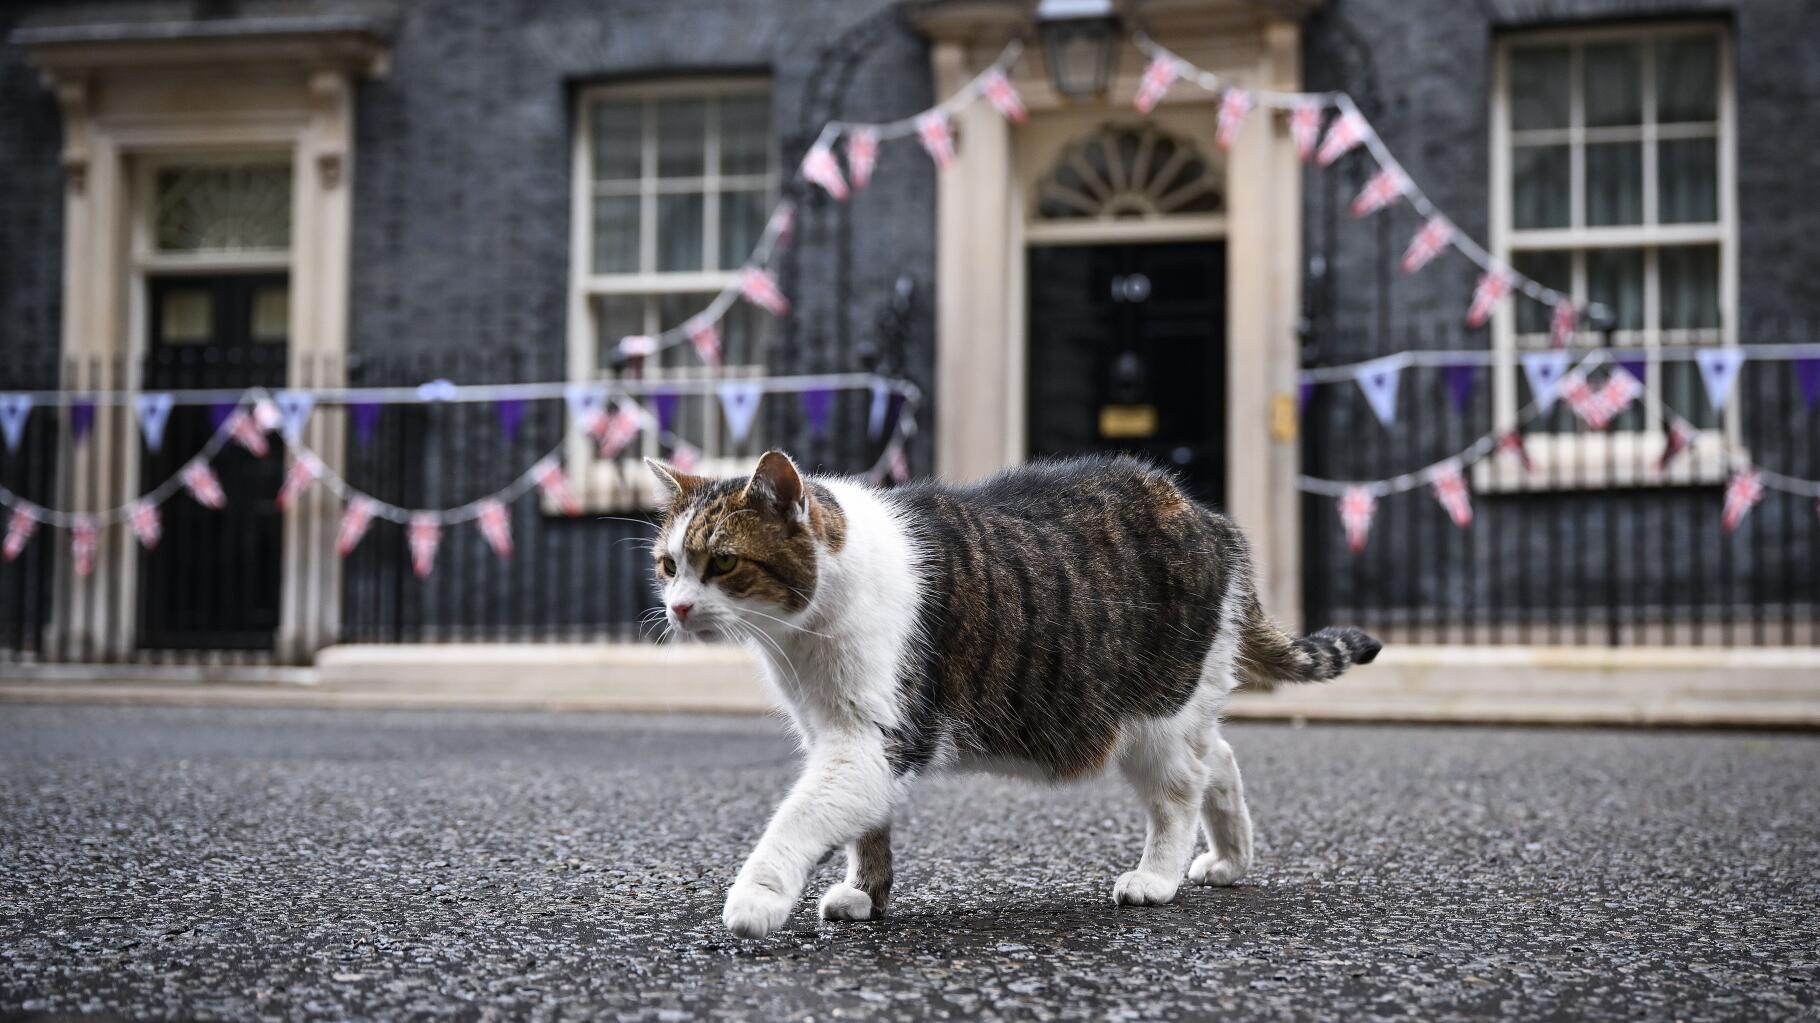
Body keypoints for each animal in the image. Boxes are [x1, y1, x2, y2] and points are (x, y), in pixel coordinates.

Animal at [651, 449, 1375, 939]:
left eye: (722, 562)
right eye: (668, 565)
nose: (677, 608)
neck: (802, 639)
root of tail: (1208, 516)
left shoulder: (874, 738)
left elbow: (799, 818)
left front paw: (756, 896)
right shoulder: (844, 735)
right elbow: (865, 829)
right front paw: (865, 894)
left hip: (1155, 715)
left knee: (1180, 791)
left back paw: (1157, 877)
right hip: (1183, 704)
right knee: (1217, 758)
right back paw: (1229, 857)